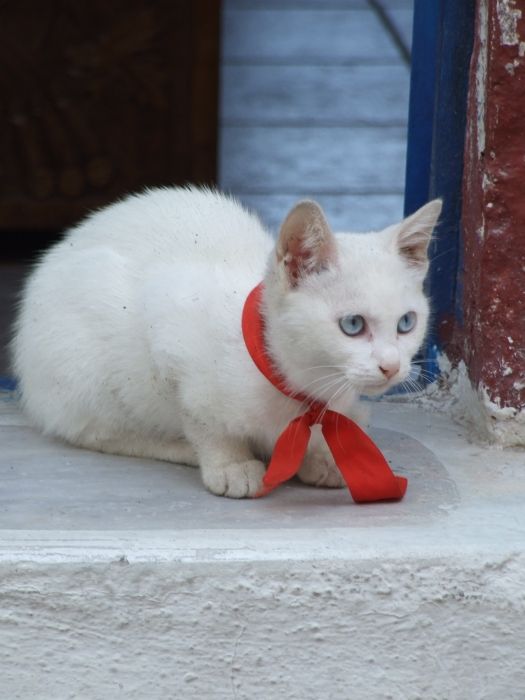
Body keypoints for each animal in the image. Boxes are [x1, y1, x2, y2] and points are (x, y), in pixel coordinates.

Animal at [11, 186, 438, 498]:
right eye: (352, 324)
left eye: (406, 323)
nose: (391, 366)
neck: (297, 385)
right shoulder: (168, 332)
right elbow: (200, 417)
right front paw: (229, 463)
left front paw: (322, 452)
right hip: (84, 364)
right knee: (95, 430)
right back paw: (178, 448)